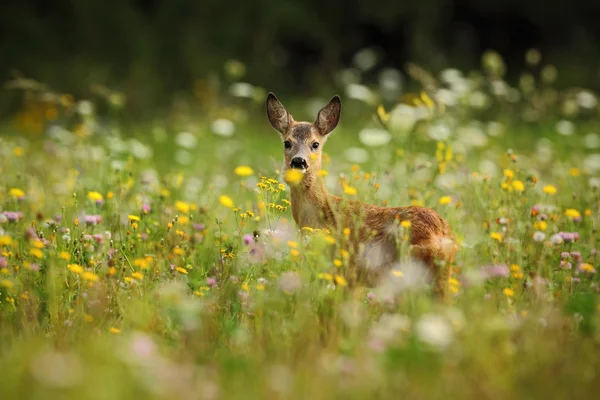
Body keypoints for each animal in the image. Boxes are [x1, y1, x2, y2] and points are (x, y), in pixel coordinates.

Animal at [264, 93, 458, 300]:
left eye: (315, 144)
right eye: (287, 143)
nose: (299, 161)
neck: (322, 215)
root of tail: (444, 236)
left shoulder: (348, 272)